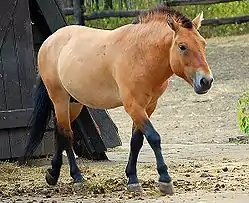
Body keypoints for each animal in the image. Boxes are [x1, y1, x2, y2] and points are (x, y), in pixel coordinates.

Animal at [20, 4, 213, 195]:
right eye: (182, 46)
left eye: (203, 44)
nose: (206, 81)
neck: (141, 54)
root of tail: (49, 41)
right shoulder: (133, 106)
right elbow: (153, 137)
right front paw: (164, 179)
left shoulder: (148, 106)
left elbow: (137, 141)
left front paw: (132, 178)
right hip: (59, 98)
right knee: (66, 134)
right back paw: (77, 177)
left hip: (74, 103)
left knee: (59, 132)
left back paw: (53, 174)